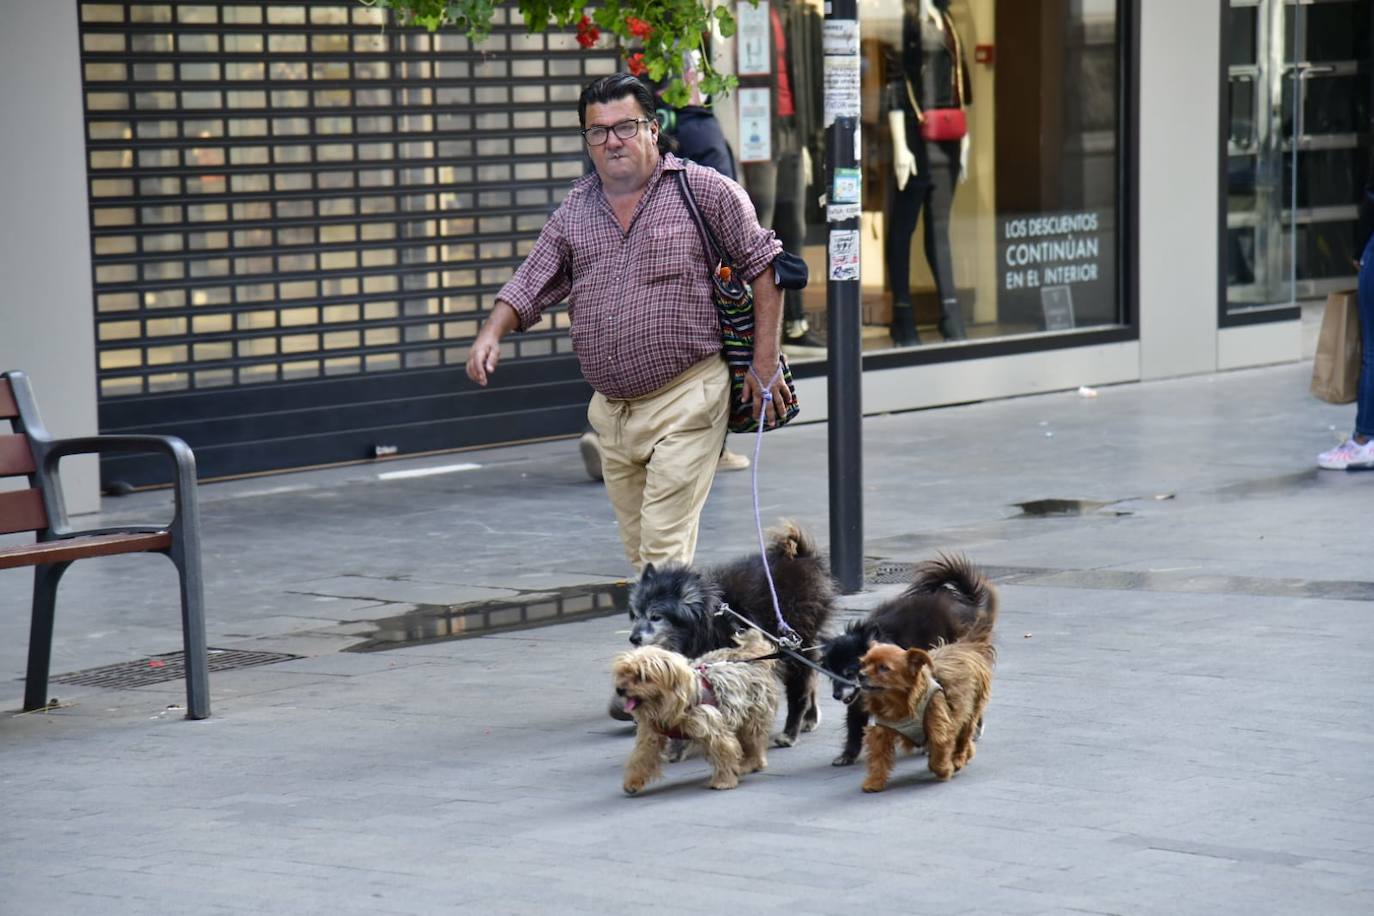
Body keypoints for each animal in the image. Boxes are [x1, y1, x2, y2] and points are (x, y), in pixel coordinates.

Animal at [851, 604, 994, 791]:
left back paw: (958, 759)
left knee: (963, 738)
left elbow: (938, 755)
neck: (896, 703)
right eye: (863, 663)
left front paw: (944, 770)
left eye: (883, 668)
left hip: (970, 711)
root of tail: (966, 646)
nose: (860, 675)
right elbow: (878, 758)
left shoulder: (939, 727)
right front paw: (874, 782)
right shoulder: (880, 732)